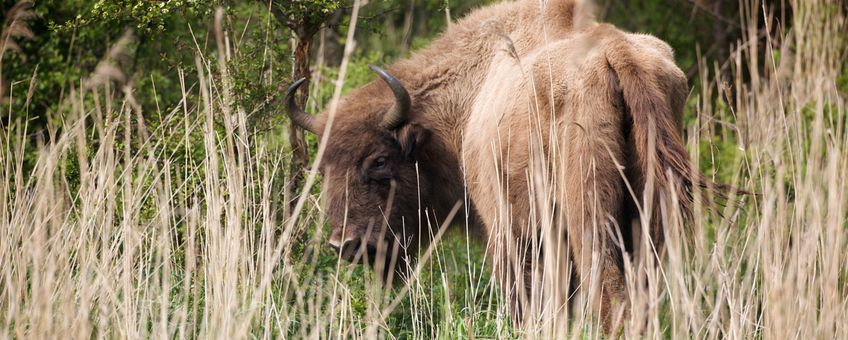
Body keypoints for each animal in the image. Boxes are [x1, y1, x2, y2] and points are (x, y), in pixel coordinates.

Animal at [284, 0, 708, 334]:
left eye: (380, 161)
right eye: (323, 169)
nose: (346, 244)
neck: (466, 102)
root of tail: (616, 52)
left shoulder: (511, 236)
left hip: (589, 220)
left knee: (607, 292)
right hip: (651, 223)